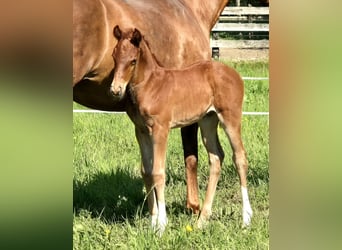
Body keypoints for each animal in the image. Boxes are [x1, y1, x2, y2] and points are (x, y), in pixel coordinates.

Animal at [111, 25, 252, 234]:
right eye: (114, 56)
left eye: (133, 61)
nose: (115, 90)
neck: (151, 85)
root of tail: (235, 75)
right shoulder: (141, 131)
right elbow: (146, 171)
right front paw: (152, 222)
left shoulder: (161, 129)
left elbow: (158, 172)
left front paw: (161, 225)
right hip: (208, 121)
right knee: (216, 157)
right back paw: (202, 220)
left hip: (230, 118)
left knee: (240, 157)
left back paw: (246, 218)